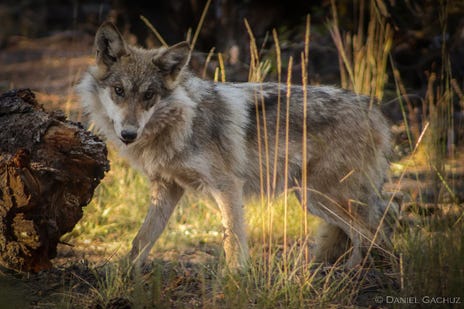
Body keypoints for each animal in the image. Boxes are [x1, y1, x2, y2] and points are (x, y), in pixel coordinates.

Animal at [77, 21, 396, 268]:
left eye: (148, 95)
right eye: (119, 91)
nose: (128, 134)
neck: (181, 122)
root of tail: (375, 110)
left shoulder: (227, 186)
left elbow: (232, 242)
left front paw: (235, 283)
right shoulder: (167, 188)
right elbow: (140, 241)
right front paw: (124, 278)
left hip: (319, 197)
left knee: (376, 236)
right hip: (314, 199)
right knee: (367, 238)